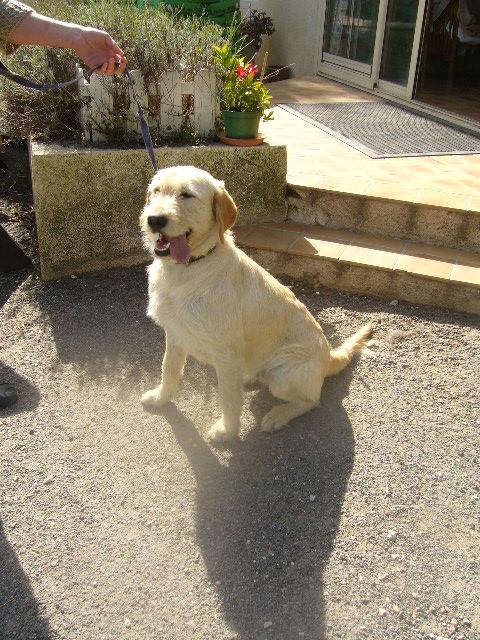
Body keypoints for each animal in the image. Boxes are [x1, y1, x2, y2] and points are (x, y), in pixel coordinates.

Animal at [138, 165, 372, 440]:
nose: (154, 220)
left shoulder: (226, 353)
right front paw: (161, 398)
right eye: (156, 191)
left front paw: (227, 431)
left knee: (311, 400)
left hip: (283, 373)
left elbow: (228, 397)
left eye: (187, 195)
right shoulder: (175, 334)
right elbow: (169, 370)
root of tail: (328, 358)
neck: (187, 268)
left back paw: (278, 414)